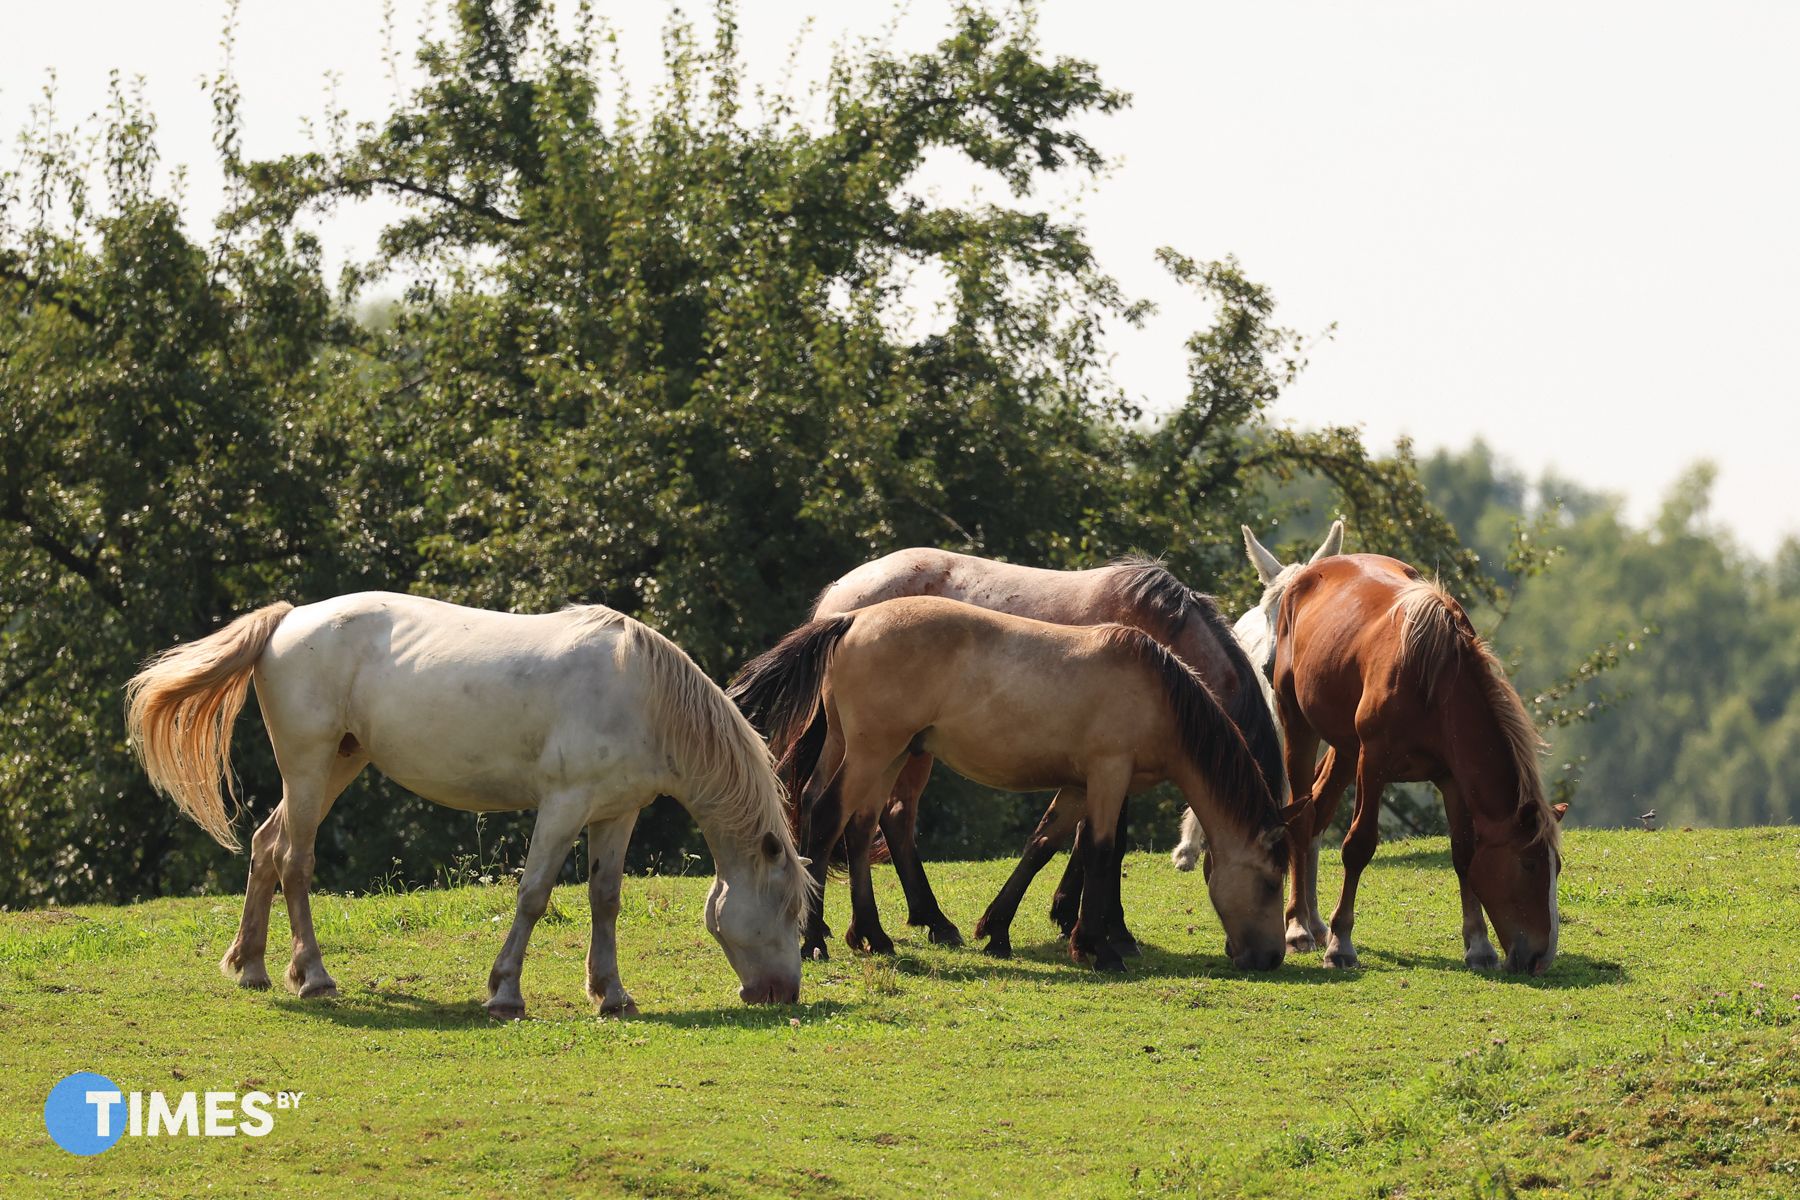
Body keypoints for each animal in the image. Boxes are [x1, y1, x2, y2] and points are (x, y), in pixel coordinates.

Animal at [125, 593, 809, 1019]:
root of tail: (290, 620)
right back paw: (313, 977)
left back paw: (252, 967)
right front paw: (505, 993)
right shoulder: (563, 805)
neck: (639, 692)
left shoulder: (617, 813)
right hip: (309, 764)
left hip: (338, 763)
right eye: (787, 909)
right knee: (295, 860)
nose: (784, 994)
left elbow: (605, 899)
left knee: (267, 846)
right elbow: (533, 895)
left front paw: (611, 995)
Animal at [796, 541, 1318, 957]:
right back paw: (925, 922)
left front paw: (1070, 916)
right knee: (889, 816)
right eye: (1269, 879)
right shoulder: (1110, 764)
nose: (1271, 954)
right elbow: (1105, 842)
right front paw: (1107, 927)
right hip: (894, 750)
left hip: (873, 747)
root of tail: (840, 601)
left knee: (842, 809)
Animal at [1271, 555, 1564, 974]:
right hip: (1299, 725)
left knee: (1319, 812)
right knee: (1302, 818)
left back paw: (1313, 921)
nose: (1542, 956)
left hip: (1345, 747)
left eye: (1557, 867)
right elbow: (1358, 845)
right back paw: (1298, 926)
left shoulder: (1452, 778)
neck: (1435, 683)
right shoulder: (1372, 763)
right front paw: (1342, 943)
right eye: (1528, 865)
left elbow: (1464, 854)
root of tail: (1311, 572)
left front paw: (1478, 945)